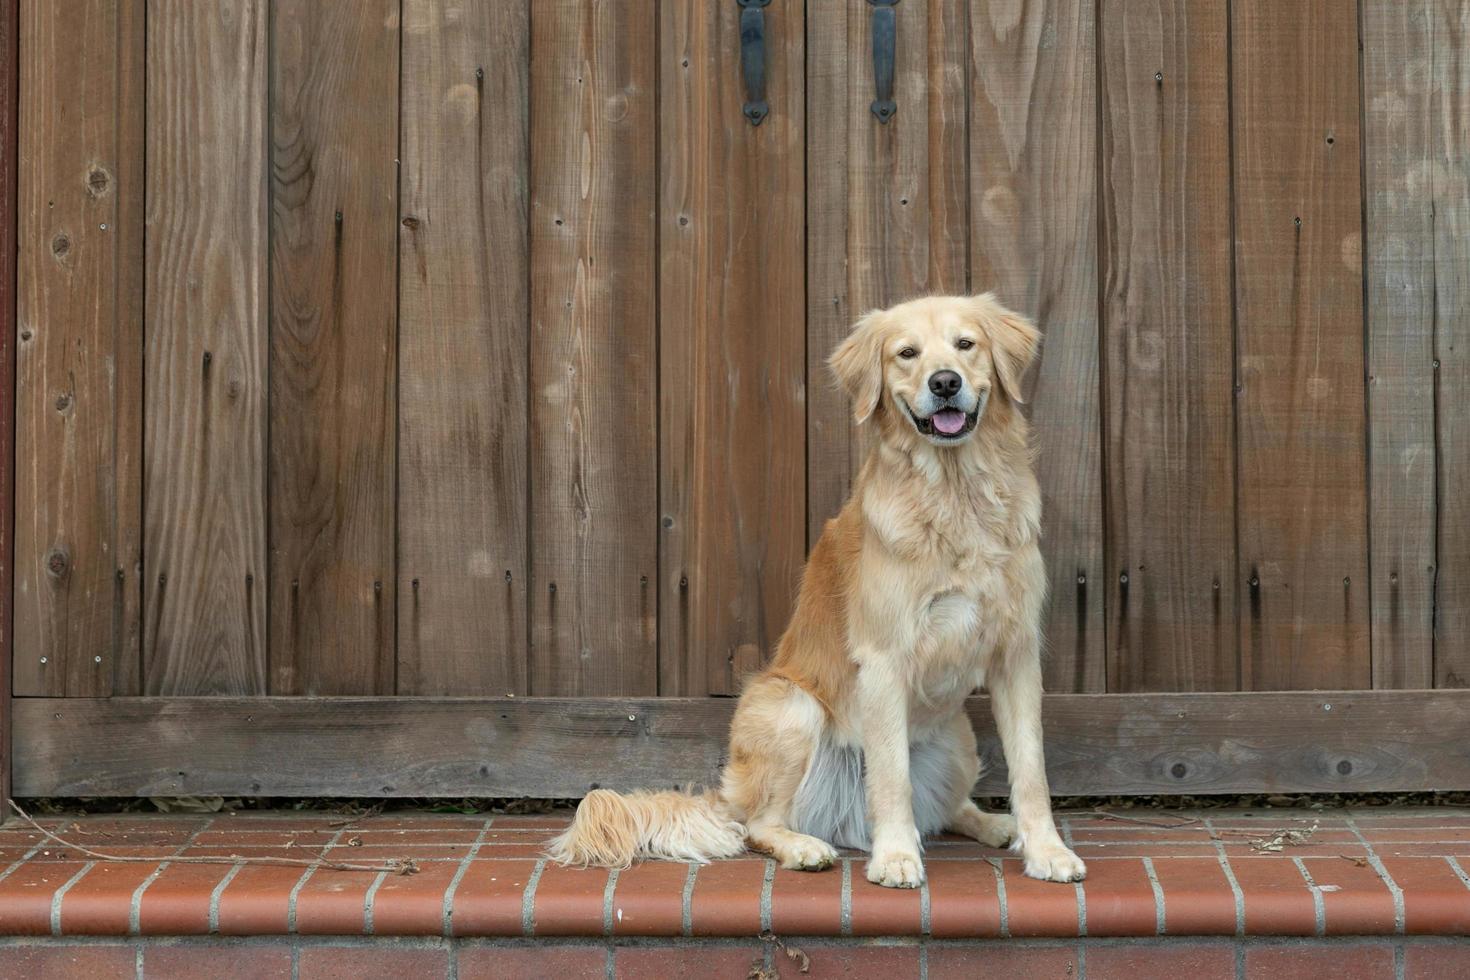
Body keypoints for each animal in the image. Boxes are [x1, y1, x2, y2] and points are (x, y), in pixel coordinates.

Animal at [546, 290, 1087, 887]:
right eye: (906, 353)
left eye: (966, 344)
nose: (945, 382)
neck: (955, 493)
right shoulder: (884, 659)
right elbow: (891, 777)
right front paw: (896, 857)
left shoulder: (1017, 655)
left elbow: (1032, 770)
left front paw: (1047, 849)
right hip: (792, 708)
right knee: (758, 825)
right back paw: (806, 846)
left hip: (957, 740)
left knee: (949, 809)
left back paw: (995, 824)